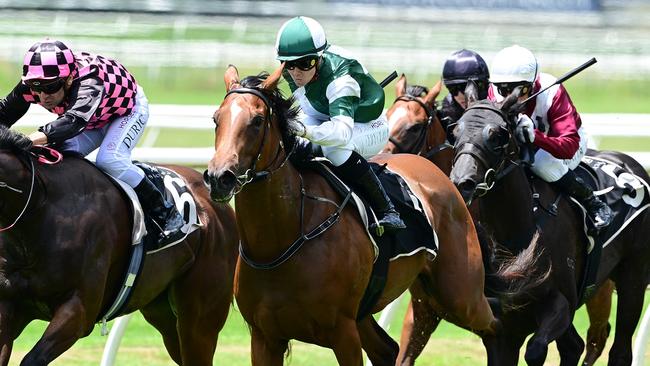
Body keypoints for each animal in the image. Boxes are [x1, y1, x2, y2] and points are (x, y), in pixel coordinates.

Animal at [0, 127, 239, 364]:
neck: (40, 206)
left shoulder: (78, 311)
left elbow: (32, 359)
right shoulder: (10, 304)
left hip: (199, 317)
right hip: (162, 312)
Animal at [204, 64, 502, 364]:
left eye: (256, 121)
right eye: (217, 119)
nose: (219, 177)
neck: (280, 241)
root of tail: (442, 178)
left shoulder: (343, 332)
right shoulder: (264, 337)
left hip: (460, 296)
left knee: (496, 327)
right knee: (389, 349)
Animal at [448, 86, 648, 366]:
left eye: (497, 135)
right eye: (455, 132)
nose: (462, 182)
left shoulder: (560, 305)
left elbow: (536, 350)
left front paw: (528, 129)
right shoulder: (501, 330)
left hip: (634, 276)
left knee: (619, 350)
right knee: (575, 345)